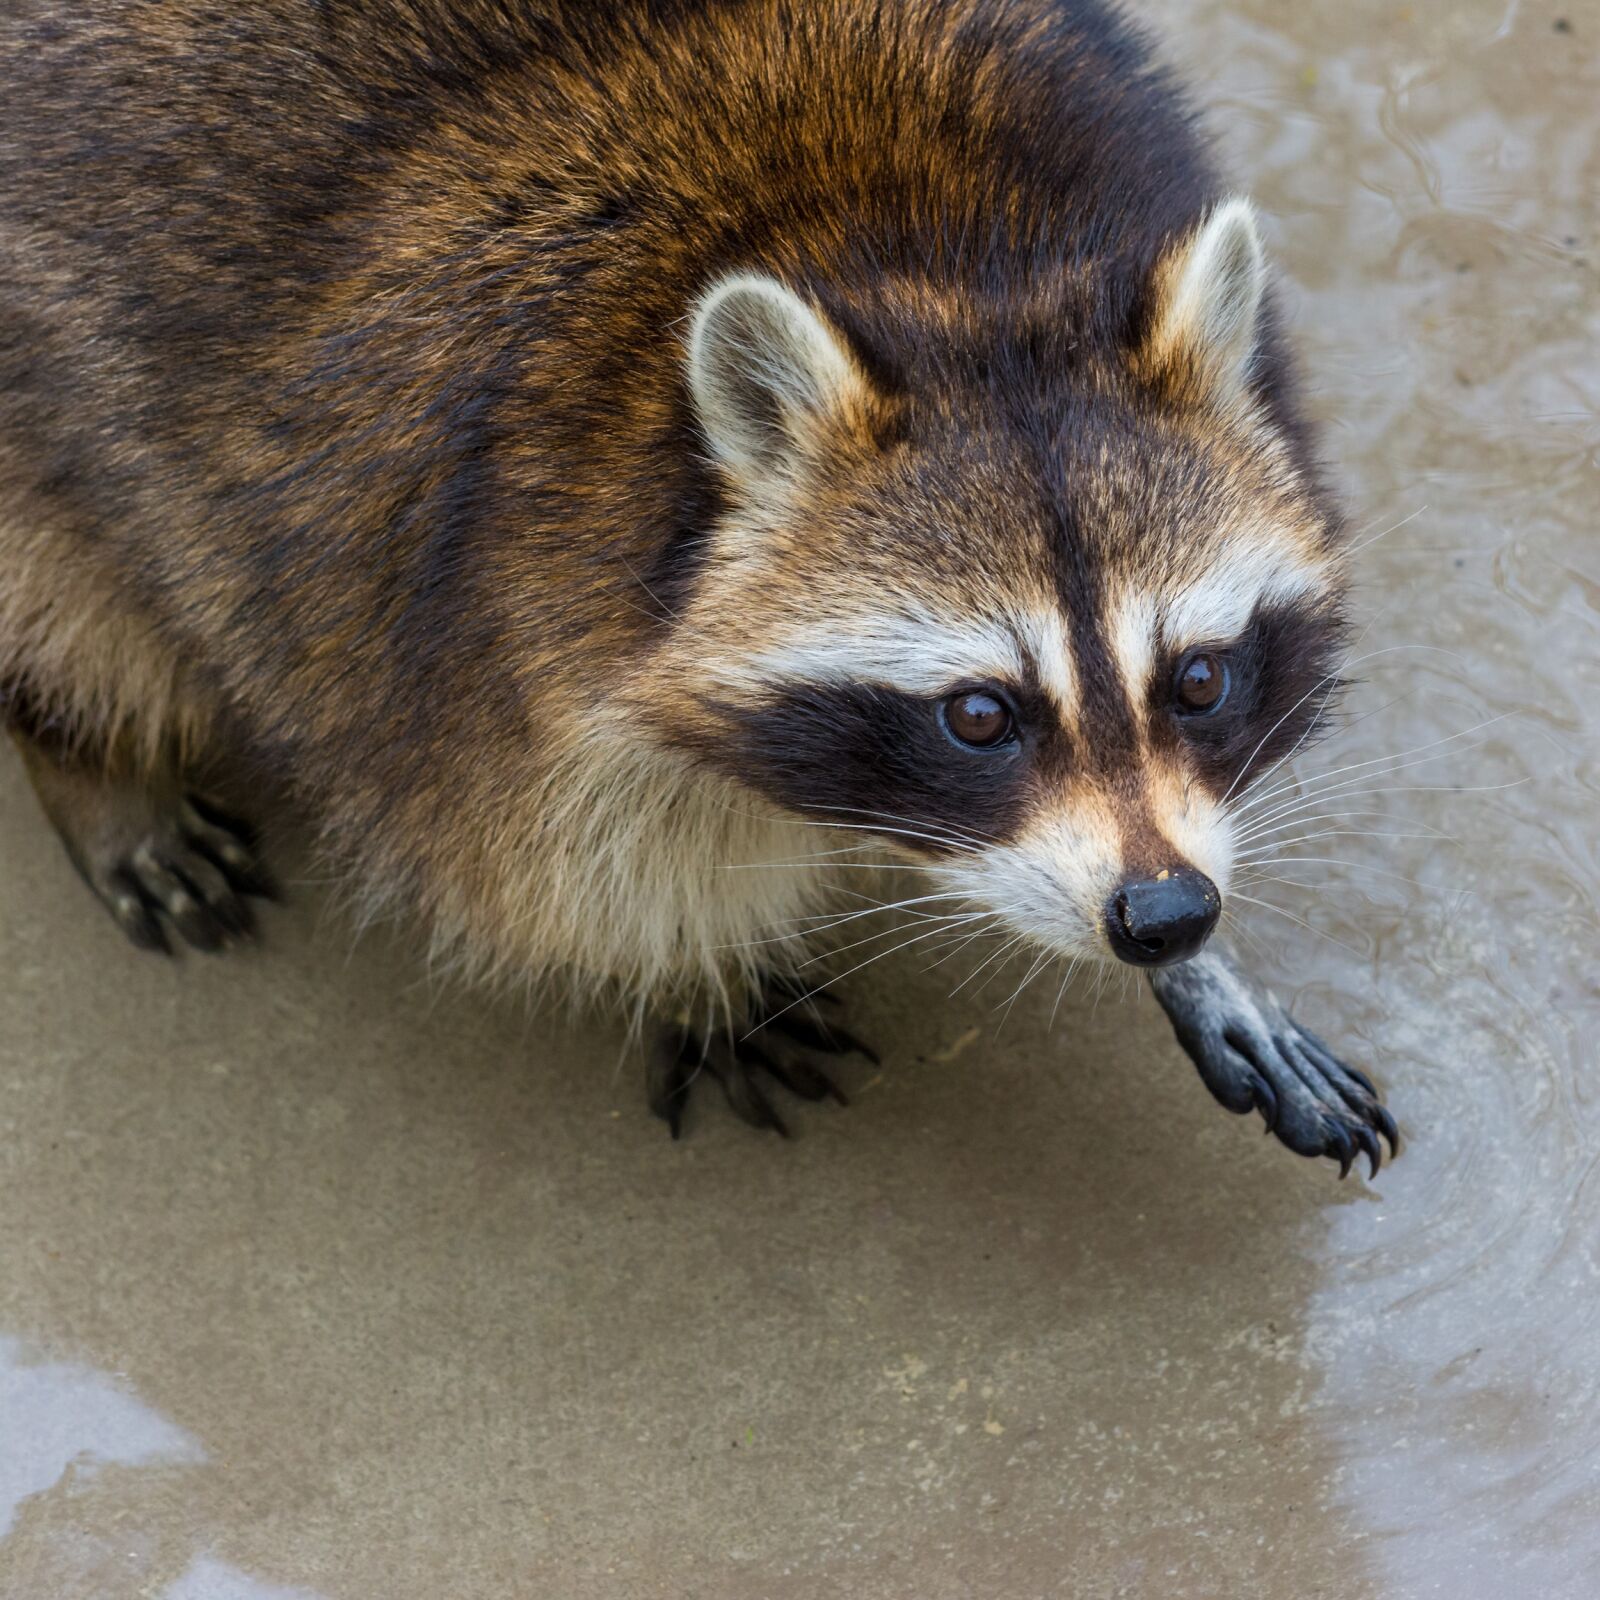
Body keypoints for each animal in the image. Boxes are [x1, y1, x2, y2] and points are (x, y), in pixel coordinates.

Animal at [0, 0, 1396, 1174]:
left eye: (1199, 679)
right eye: (979, 715)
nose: (1162, 914)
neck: (924, 256)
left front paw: (1206, 967)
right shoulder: (445, 577)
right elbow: (554, 863)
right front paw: (691, 970)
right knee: (68, 587)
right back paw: (85, 755)